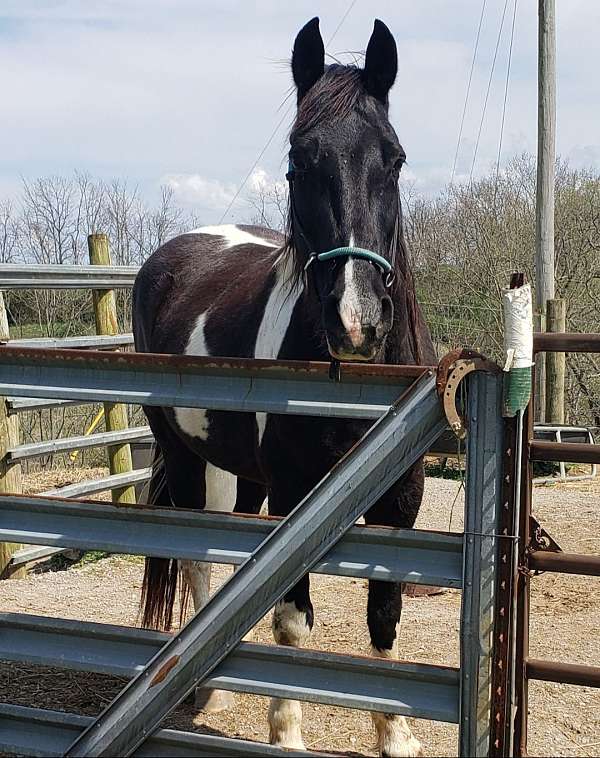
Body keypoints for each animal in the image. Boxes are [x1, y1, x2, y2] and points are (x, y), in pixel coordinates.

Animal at [135, 17, 436, 758]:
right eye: (299, 162)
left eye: (394, 158)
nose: (357, 321)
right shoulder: (297, 498)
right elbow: (294, 620)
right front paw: (287, 732)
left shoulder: (400, 503)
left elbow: (384, 616)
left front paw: (395, 736)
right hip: (185, 458)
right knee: (198, 560)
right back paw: (206, 689)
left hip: (244, 474)